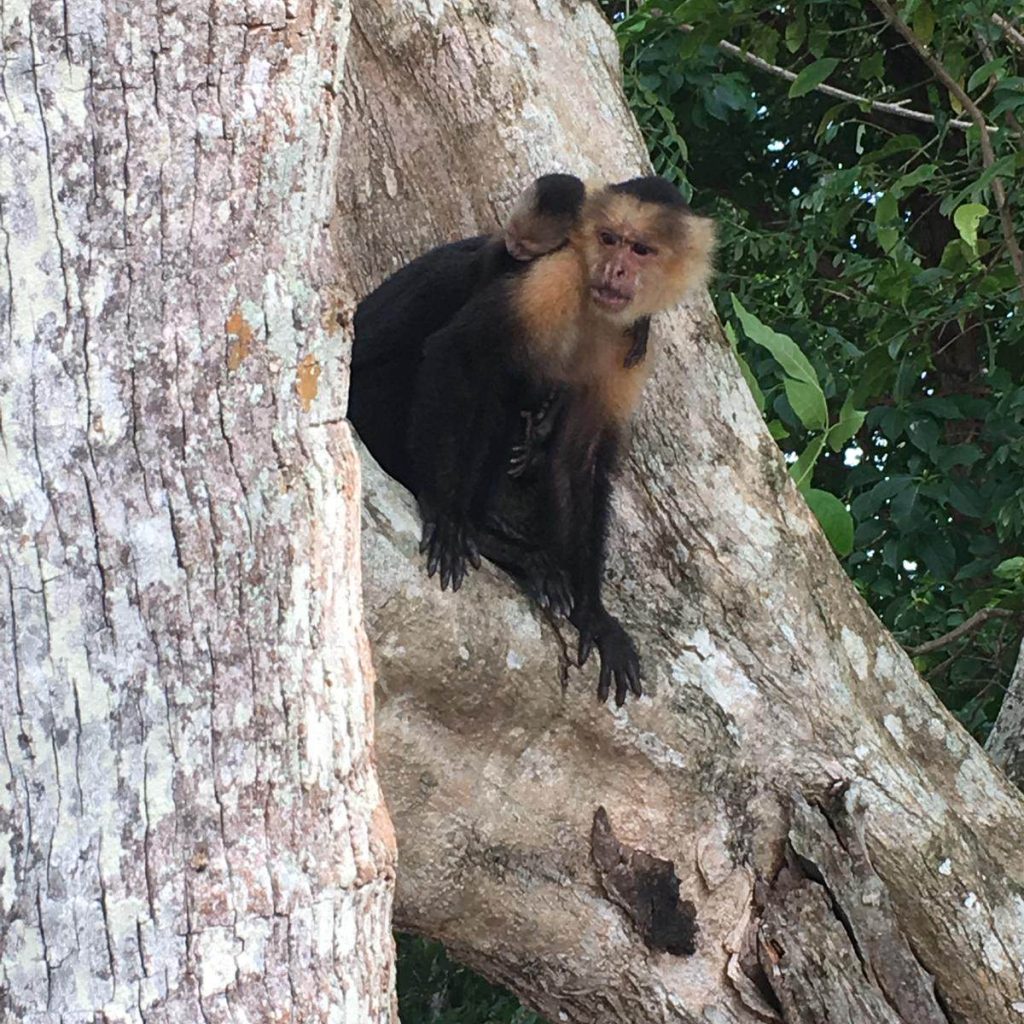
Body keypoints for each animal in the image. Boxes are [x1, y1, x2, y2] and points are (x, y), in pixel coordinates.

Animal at [349, 175, 714, 705]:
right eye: (609, 239)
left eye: (640, 249)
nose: (615, 269)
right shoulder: (551, 278)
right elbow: (457, 352)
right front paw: (446, 511)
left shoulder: (631, 347)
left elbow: (580, 460)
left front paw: (593, 614)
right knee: (489, 380)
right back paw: (487, 535)